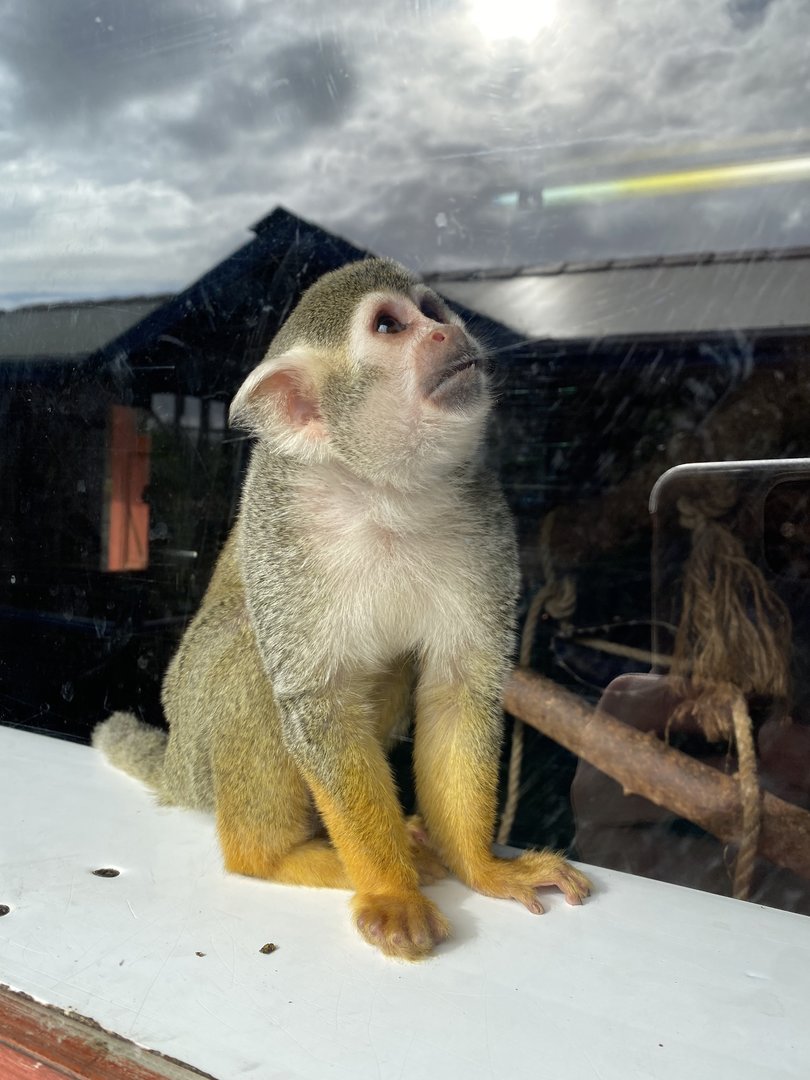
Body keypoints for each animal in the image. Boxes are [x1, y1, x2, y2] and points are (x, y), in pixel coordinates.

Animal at [93, 257, 590, 961]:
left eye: (433, 310)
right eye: (389, 326)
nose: (446, 332)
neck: (385, 493)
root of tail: (178, 773)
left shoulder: (484, 514)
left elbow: (458, 687)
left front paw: (484, 869)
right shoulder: (283, 523)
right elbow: (317, 699)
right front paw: (391, 892)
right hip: (200, 749)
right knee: (250, 660)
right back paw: (275, 857)